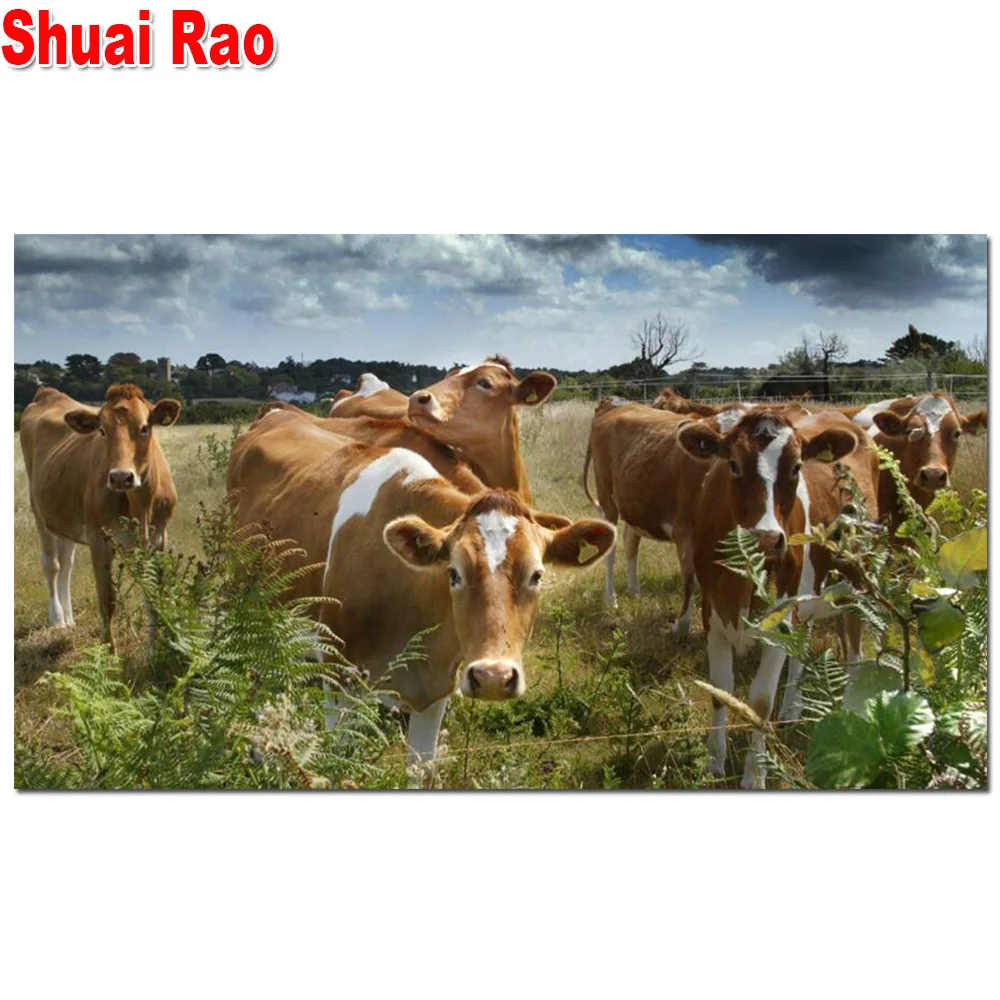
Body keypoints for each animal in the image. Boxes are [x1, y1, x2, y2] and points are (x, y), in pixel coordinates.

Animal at [19, 384, 181, 649]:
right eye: (102, 430)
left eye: (144, 427)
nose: (120, 477)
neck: (140, 505)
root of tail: (48, 393)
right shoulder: (99, 539)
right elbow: (107, 600)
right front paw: (109, 651)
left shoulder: (158, 538)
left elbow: (153, 593)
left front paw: (153, 647)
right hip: (38, 511)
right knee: (52, 565)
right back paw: (57, 618)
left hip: (66, 517)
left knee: (66, 563)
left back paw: (69, 617)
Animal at [676, 408, 871, 787]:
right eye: (733, 464)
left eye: (797, 467)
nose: (766, 538)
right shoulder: (712, 615)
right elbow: (721, 690)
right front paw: (714, 763)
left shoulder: (778, 623)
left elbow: (761, 702)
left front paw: (755, 775)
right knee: (804, 644)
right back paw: (792, 708)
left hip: (858, 584)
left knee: (855, 654)